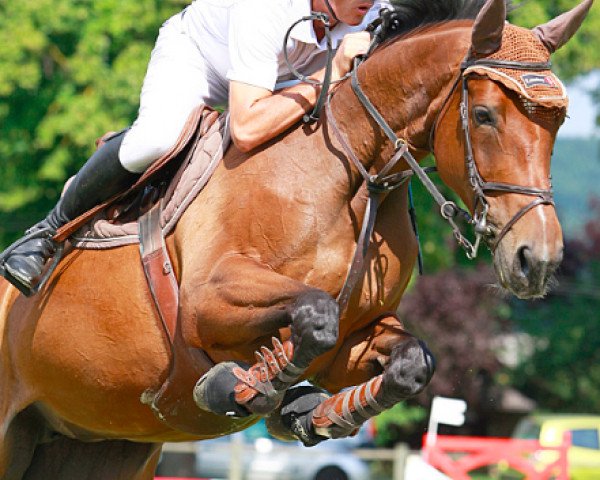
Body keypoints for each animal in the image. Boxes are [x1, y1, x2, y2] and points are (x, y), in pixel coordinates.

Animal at [0, 0, 592, 478]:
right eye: (485, 115)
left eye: (559, 125)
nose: (537, 260)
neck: (351, 174)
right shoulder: (205, 301)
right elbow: (314, 313)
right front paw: (247, 386)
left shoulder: (357, 337)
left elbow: (409, 361)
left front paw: (316, 413)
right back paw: (28, 254)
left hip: (105, 444)